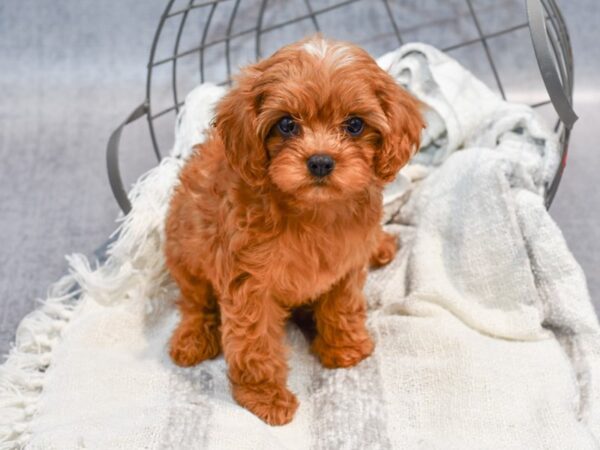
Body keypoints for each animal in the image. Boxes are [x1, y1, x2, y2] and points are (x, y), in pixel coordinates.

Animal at [165, 36, 422, 426]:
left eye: (354, 125)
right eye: (286, 124)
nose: (320, 161)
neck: (312, 212)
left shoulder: (347, 265)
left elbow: (342, 306)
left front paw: (345, 348)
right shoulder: (249, 284)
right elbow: (254, 342)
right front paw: (264, 396)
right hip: (185, 251)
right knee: (195, 303)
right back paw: (191, 339)